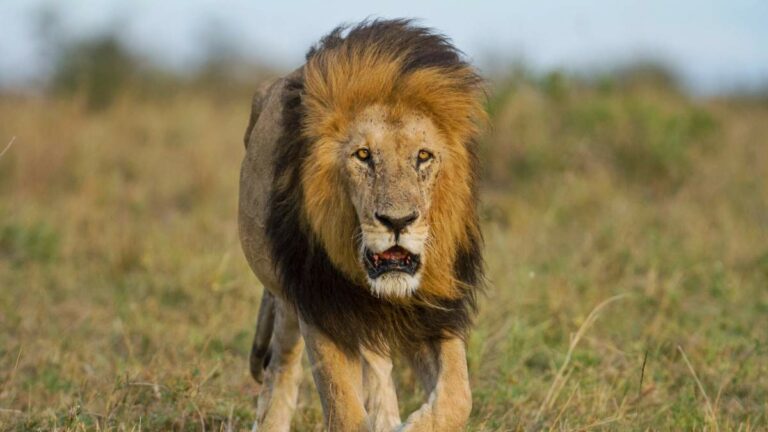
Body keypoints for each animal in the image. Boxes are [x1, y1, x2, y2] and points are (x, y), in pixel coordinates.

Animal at [238, 19, 485, 431]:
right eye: (363, 155)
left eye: (423, 156)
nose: (398, 221)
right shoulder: (320, 305)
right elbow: (344, 409)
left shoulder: (432, 307)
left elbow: (457, 397)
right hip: (287, 292)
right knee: (282, 364)